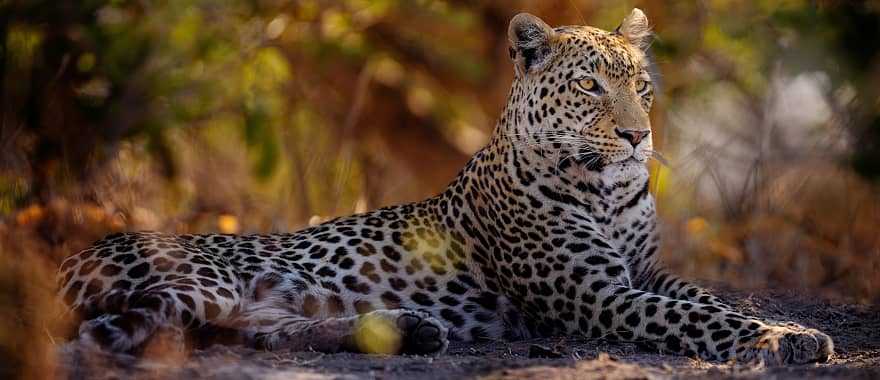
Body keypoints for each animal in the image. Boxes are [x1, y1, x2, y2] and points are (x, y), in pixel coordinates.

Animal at [56, 9, 832, 366]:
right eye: (589, 87)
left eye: (641, 86)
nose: (638, 137)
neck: (608, 192)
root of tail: (70, 257)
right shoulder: (598, 297)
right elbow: (698, 319)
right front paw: (782, 339)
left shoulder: (649, 274)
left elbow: (712, 299)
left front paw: (794, 328)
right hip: (202, 279)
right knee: (131, 332)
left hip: (256, 307)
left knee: (258, 334)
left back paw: (411, 329)